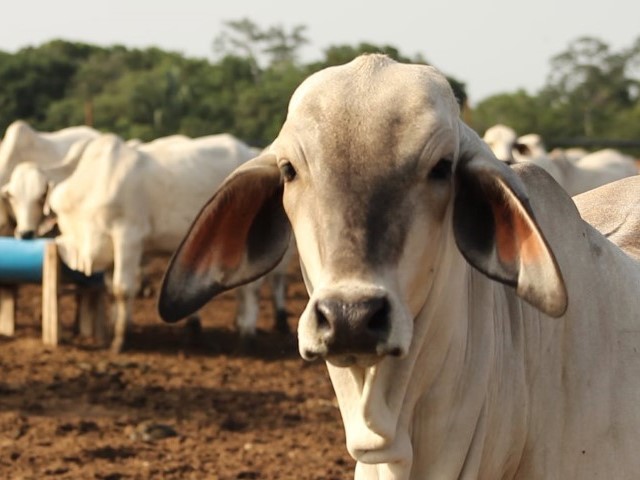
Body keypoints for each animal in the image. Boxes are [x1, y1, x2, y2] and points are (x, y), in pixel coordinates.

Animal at [49, 133, 291, 353]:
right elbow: (111, 289)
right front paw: (117, 328)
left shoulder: (128, 237)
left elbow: (122, 290)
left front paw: (120, 340)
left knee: (252, 289)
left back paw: (246, 338)